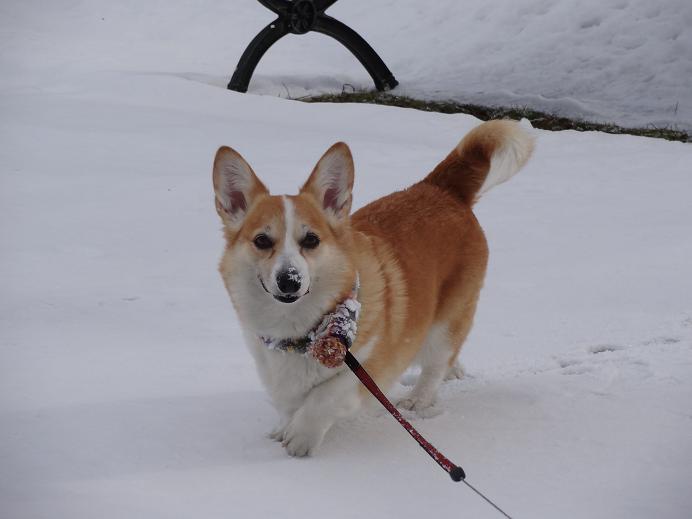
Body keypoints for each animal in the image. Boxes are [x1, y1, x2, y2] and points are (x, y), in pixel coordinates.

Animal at [214, 120, 532, 458]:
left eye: (311, 240)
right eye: (262, 240)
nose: (290, 281)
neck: (300, 330)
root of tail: (443, 188)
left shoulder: (371, 367)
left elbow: (325, 396)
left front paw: (300, 437)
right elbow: (289, 402)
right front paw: (283, 428)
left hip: (447, 321)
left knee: (437, 362)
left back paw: (418, 399)